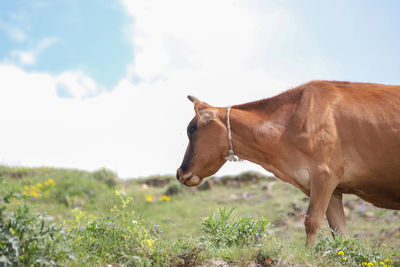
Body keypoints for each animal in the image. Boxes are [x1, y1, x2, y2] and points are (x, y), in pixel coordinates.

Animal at [177, 81, 400, 247]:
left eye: (192, 129)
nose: (180, 173)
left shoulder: (325, 175)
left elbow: (311, 221)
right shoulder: (333, 189)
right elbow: (341, 234)